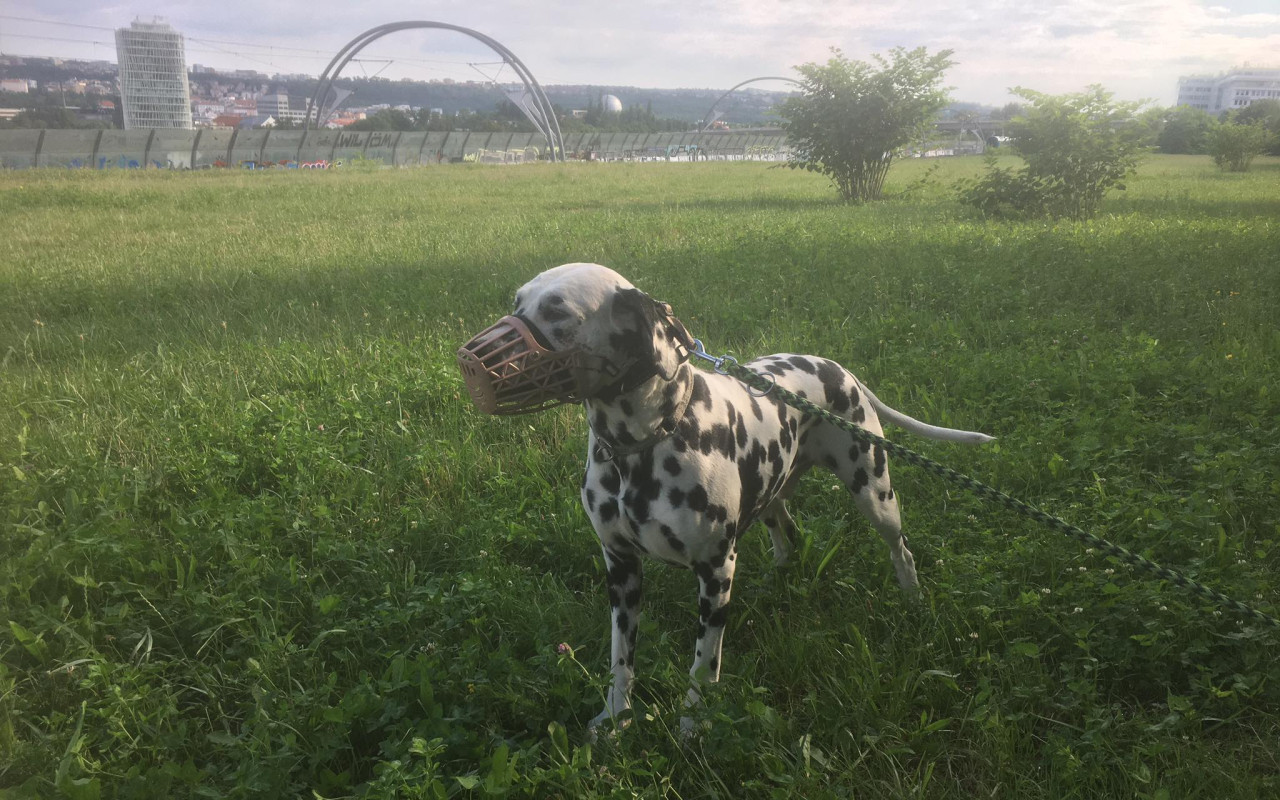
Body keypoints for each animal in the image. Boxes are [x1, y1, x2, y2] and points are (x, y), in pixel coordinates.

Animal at [494, 262, 993, 732]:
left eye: (557, 311)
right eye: (517, 301)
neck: (644, 444)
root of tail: (836, 368)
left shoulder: (715, 572)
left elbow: (704, 665)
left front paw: (695, 724)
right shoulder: (621, 570)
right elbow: (621, 661)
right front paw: (616, 719)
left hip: (875, 494)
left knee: (900, 549)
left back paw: (913, 601)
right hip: (771, 499)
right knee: (788, 536)